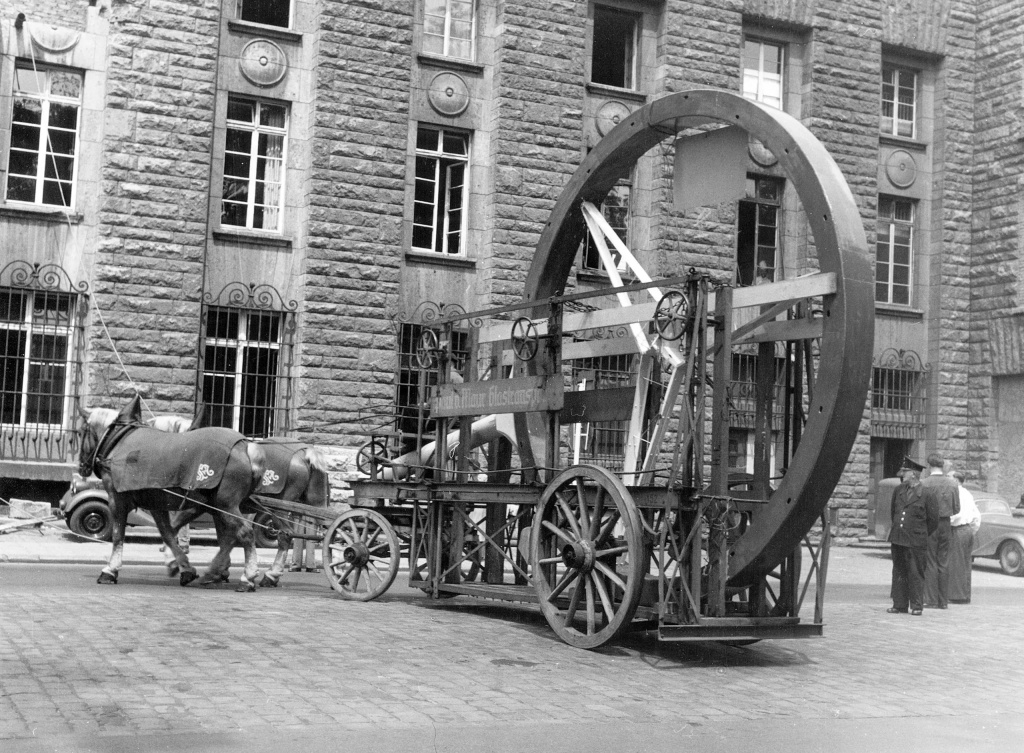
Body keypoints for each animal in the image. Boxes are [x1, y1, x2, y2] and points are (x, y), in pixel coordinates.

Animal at [78, 395, 268, 594]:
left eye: (80, 432)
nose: (82, 467)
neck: (117, 442)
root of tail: (245, 447)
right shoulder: (156, 502)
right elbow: (167, 533)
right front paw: (182, 567)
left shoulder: (117, 499)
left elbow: (118, 535)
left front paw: (110, 570)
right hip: (220, 506)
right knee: (232, 536)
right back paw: (215, 572)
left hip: (226, 505)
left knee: (245, 533)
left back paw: (247, 577)